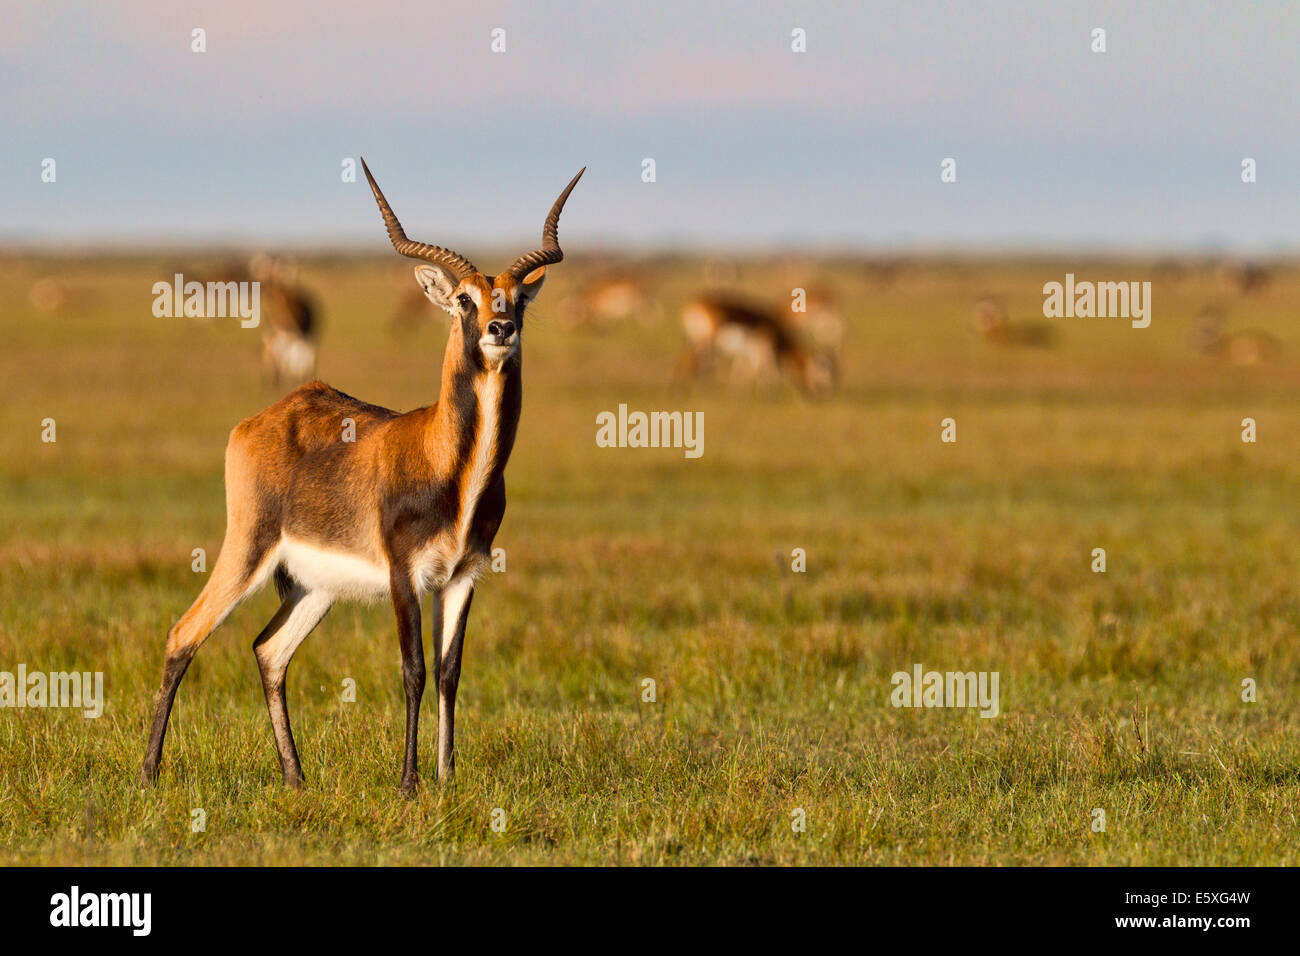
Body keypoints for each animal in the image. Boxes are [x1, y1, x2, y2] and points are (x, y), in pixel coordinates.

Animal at [141, 160, 585, 796]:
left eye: (517, 299)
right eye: (464, 299)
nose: (499, 328)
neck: (451, 466)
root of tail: (262, 418)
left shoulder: (463, 576)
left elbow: (450, 672)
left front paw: (448, 777)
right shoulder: (405, 575)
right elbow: (413, 670)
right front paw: (408, 783)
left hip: (314, 586)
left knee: (269, 650)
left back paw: (296, 778)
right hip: (247, 551)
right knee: (184, 634)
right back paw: (149, 774)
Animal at [676, 290, 837, 398]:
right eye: (822, 378)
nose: (823, 396)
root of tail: (693, 304)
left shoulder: (748, 352)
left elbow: (743, 370)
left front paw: (737, 390)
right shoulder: (763, 350)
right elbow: (766, 369)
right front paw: (769, 392)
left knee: (697, 361)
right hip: (706, 340)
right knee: (692, 360)